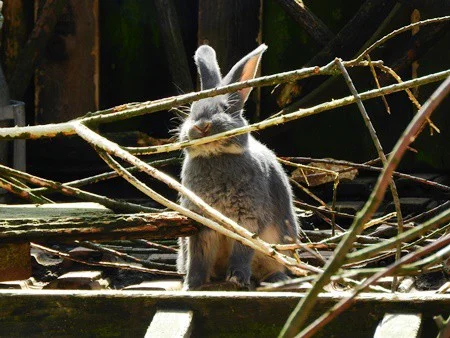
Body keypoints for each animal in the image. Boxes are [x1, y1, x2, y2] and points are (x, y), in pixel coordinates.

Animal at [177, 43, 298, 290]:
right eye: (192, 110)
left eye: (225, 108)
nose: (202, 126)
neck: (215, 156)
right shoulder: (201, 223)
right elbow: (198, 256)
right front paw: (191, 284)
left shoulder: (247, 219)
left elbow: (242, 252)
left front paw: (236, 279)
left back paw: (275, 279)